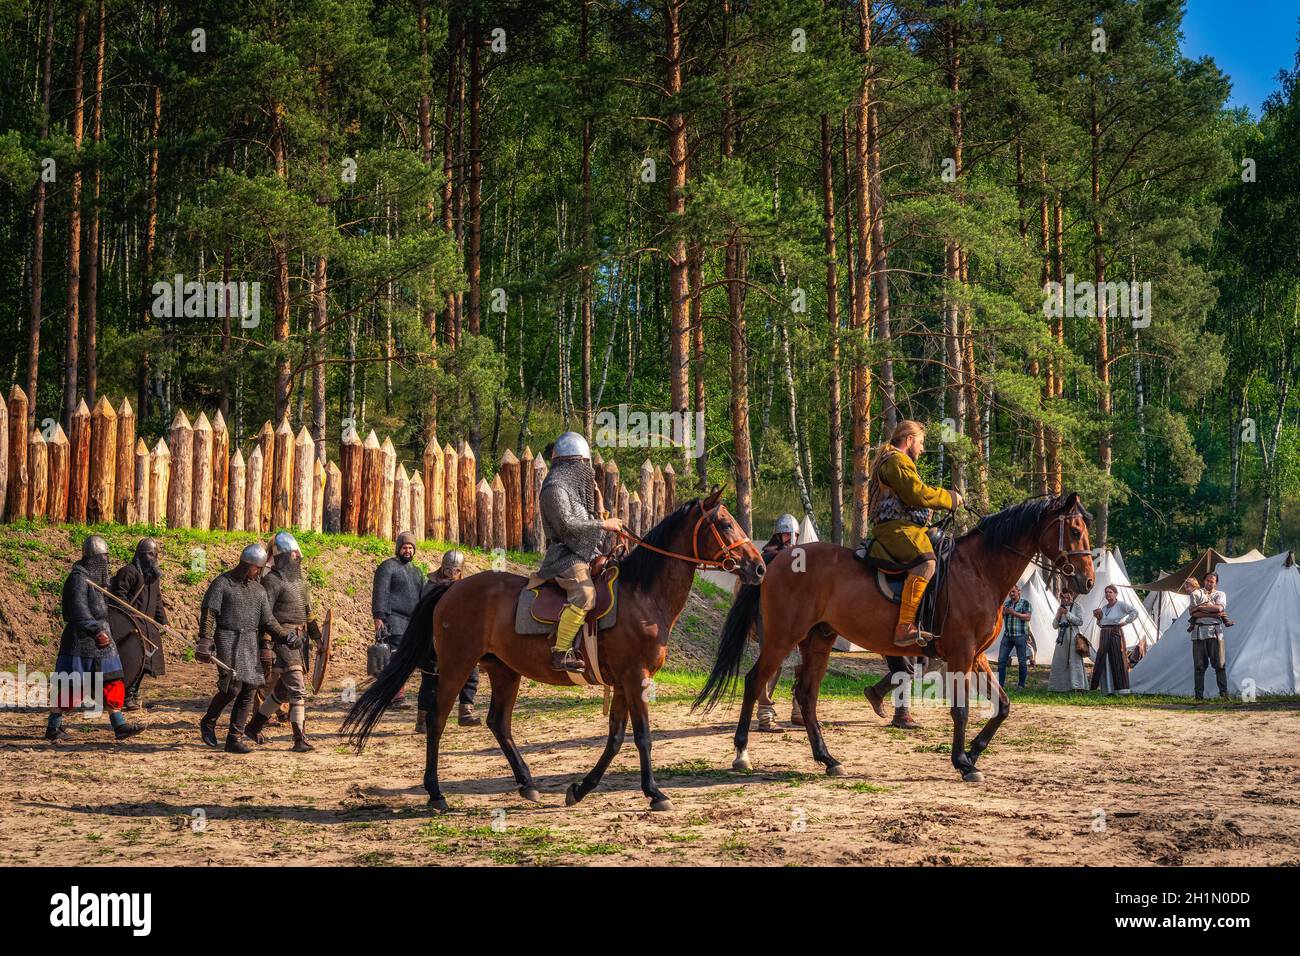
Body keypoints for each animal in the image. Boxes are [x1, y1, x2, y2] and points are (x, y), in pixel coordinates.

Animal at [343, 489, 759, 811]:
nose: (757, 567)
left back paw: (527, 783)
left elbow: (615, 738)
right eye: (725, 525)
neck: (642, 594)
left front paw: (580, 789)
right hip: (457, 665)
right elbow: (642, 736)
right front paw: (655, 793)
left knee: (499, 723)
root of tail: (453, 588)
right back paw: (436, 793)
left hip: (504, 671)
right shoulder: (635, 678)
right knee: (437, 720)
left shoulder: (622, 683)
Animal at [696, 494, 1092, 785]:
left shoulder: (977, 656)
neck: (978, 570)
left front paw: (975, 751)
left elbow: (1004, 705)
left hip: (817, 642)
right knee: (754, 682)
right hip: (781, 639)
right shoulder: (961, 654)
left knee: (806, 696)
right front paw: (963, 762)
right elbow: (961, 710)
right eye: (1074, 530)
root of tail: (776, 559)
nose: (1087, 581)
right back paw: (741, 752)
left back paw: (828, 759)